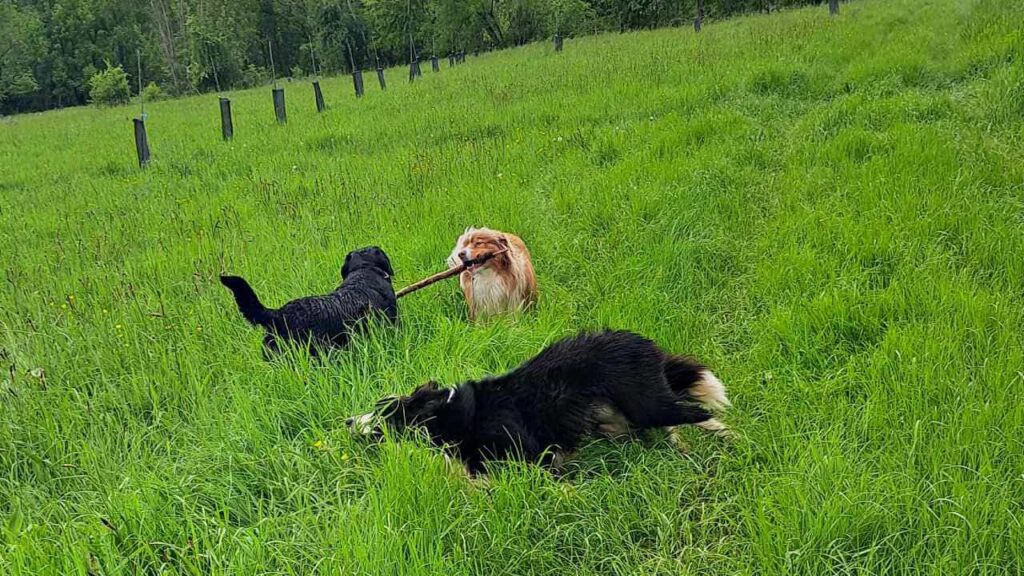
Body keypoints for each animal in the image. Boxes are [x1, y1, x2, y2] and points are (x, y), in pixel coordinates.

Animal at [348, 330, 733, 473]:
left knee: (697, 412)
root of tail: (641, 342)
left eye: (383, 414)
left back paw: (729, 443)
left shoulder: (533, 455)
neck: (447, 415)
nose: (347, 421)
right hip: (619, 418)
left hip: (647, 402)